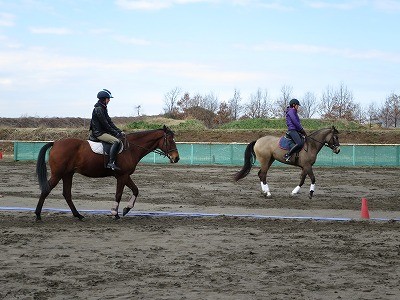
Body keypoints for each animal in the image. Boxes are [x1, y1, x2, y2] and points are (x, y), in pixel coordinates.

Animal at [36, 125, 180, 220]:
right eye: (170, 140)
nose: (176, 158)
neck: (131, 148)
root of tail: (55, 143)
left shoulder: (125, 176)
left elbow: (136, 190)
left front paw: (126, 209)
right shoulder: (122, 176)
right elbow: (118, 194)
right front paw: (115, 213)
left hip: (67, 174)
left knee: (67, 194)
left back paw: (78, 215)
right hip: (58, 174)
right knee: (47, 190)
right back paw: (38, 215)